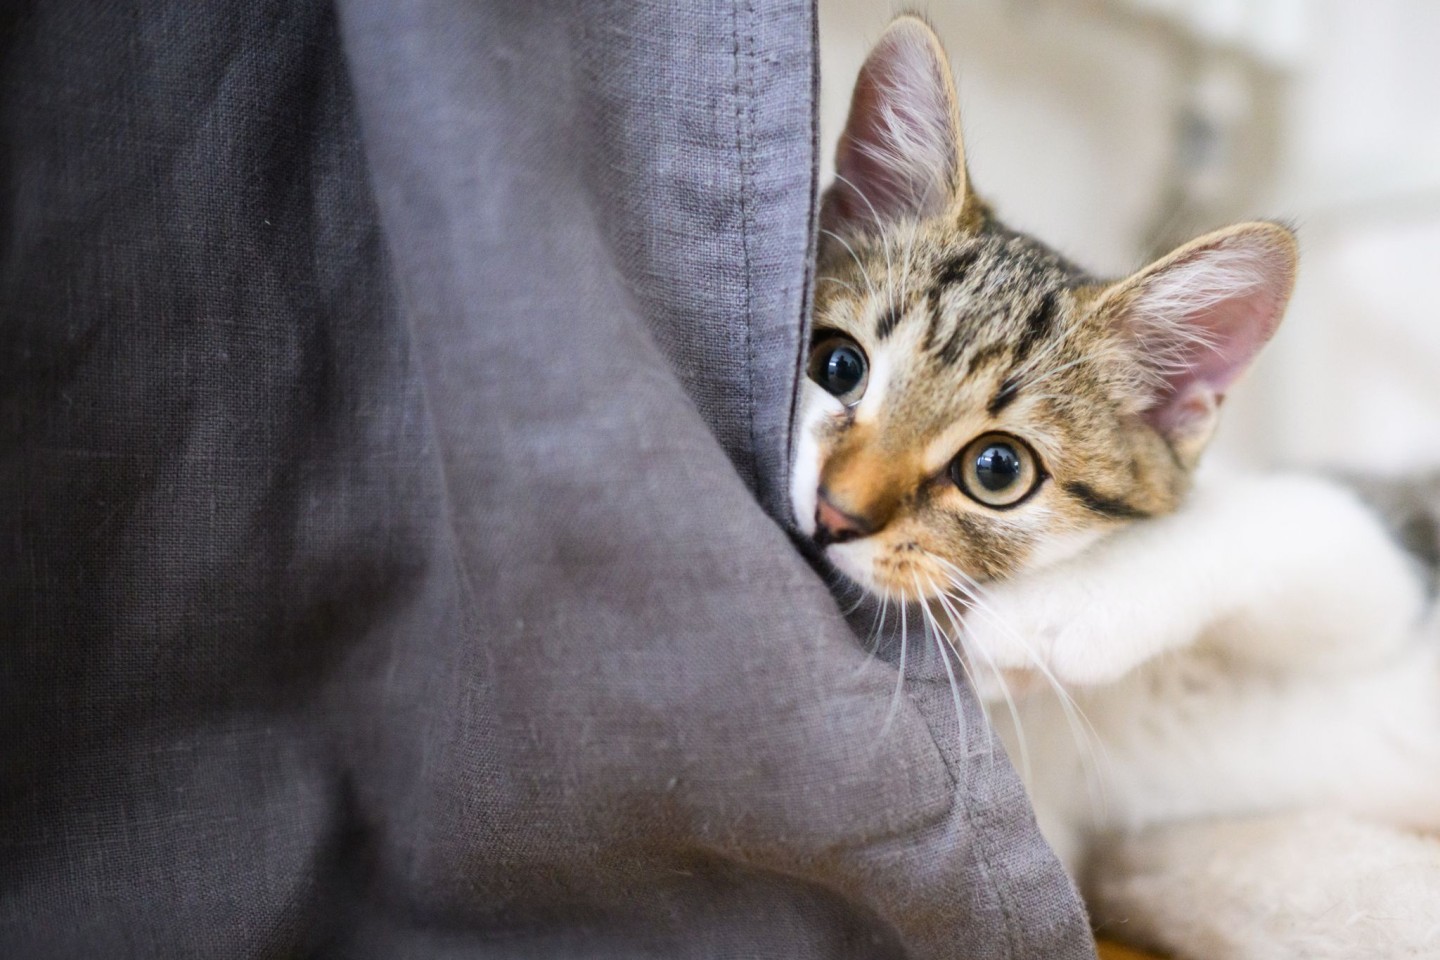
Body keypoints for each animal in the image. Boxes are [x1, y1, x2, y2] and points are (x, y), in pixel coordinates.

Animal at [800, 16, 1440, 960]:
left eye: (998, 470)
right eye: (838, 367)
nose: (833, 510)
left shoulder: (1383, 573)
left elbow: (1287, 522)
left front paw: (1047, 617)